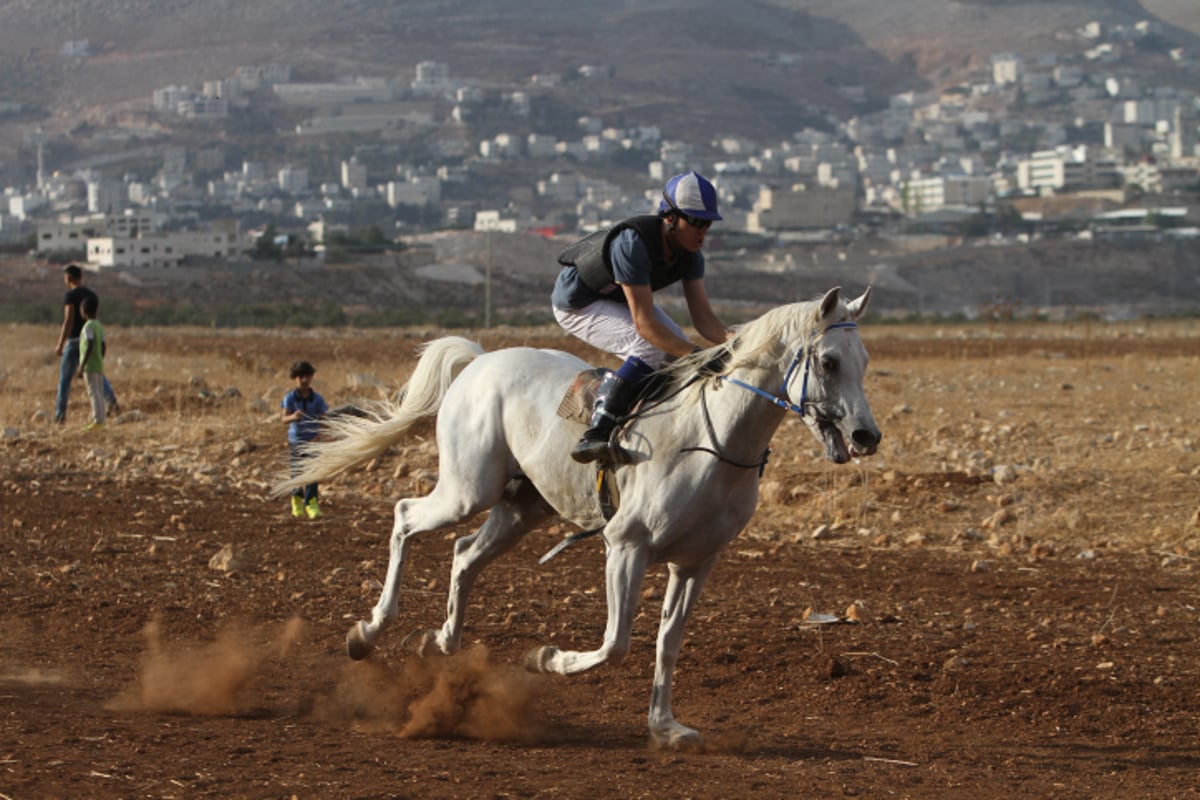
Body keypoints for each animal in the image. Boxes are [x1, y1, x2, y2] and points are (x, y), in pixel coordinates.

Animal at [284, 287, 878, 753]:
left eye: (865, 361)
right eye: (829, 361)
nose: (866, 435)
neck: (712, 441)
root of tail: (478, 361)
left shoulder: (694, 563)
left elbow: (667, 644)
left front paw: (665, 729)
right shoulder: (627, 546)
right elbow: (616, 644)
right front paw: (544, 659)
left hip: (522, 507)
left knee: (464, 554)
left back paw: (440, 642)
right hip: (467, 489)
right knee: (406, 517)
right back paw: (367, 632)